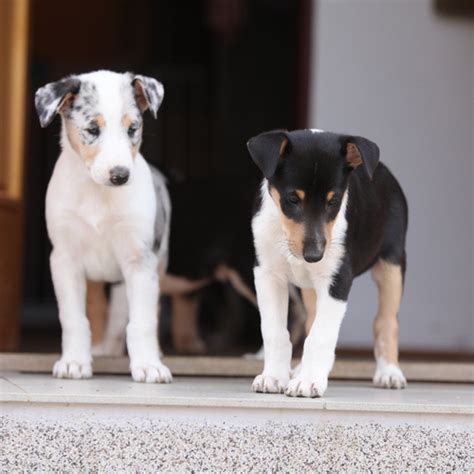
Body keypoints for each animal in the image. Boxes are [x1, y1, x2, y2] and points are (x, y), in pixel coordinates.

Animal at [248, 129, 408, 396]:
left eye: (333, 201)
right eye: (293, 199)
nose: (314, 256)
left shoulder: (337, 278)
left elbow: (321, 335)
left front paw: (309, 381)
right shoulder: (267, 274)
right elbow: (275, 331)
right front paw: (273, 377)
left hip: (392, 263)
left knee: (386, 321)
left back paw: (389, 373)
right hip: (309, 287)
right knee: (311, 318)